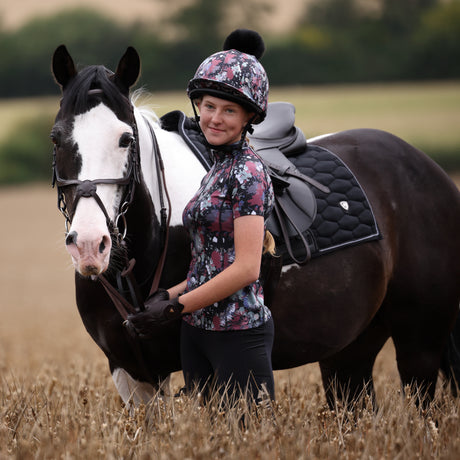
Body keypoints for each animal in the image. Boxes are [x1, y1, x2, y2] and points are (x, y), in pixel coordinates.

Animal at [50, 45, 460, 408]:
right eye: (56, 137)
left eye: (126, 139)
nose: (89, 245)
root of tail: (429, 169)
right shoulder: (132, 375)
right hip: (350, 351)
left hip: (419, 344)